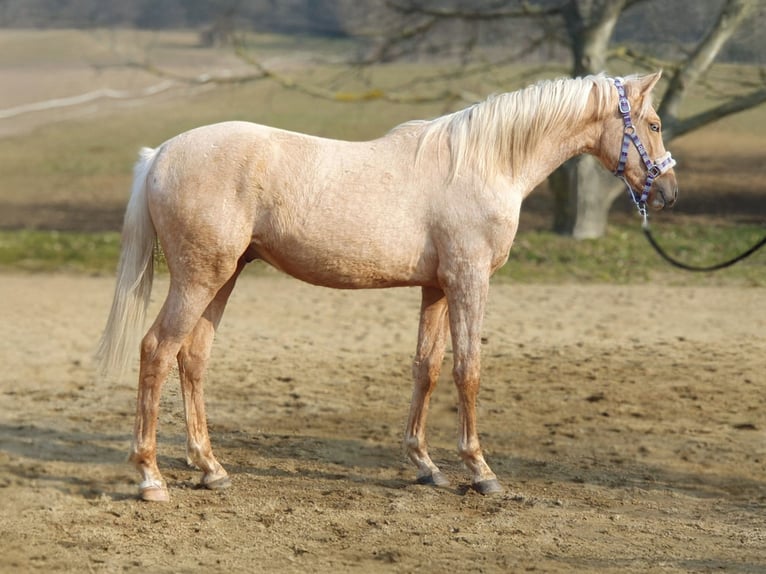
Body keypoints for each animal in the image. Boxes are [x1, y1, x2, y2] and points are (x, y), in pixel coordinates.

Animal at [96, 73, 680, 504]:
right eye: (652, 123)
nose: (669, 192)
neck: (484, 162)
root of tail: (159, 155)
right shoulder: (469, 280)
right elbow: (469, 370)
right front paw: (481, 471)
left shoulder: (437, 288)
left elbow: (428, 367)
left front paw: (425, 465)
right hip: (200, 277)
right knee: (157, 350)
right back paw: (151, 479)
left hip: (225, 275)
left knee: (192, 357)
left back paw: (210, 468)